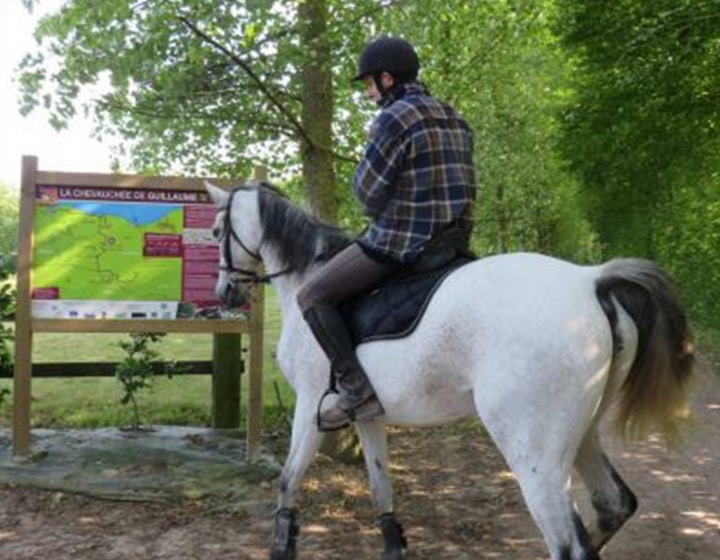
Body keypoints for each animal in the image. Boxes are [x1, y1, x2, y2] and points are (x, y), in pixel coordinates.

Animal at [204, 182, 692, 556]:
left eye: (215, 231)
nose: (225, 292)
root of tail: (589, 280)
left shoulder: (309, 407)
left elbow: (287, 483)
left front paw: (280, 546)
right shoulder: (367, 414)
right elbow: (381, 486)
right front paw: (394, 547)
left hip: (534, 454)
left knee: (567, 543)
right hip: (582, 432)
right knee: (614, 504)